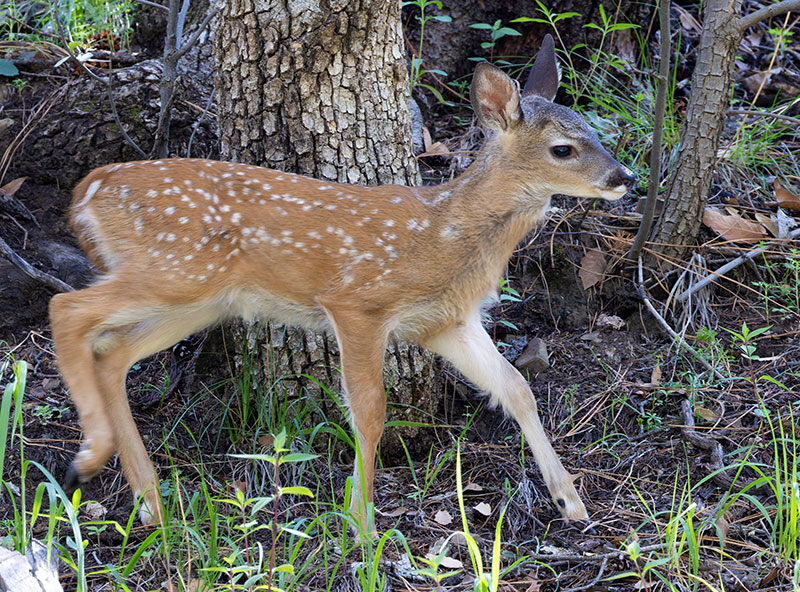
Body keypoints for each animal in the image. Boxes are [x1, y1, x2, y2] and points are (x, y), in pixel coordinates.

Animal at [50, 34, 634, 531]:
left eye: (592, 132)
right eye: (563, 148)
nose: (623, 177)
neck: (444, 235)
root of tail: (84, 192)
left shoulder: (445, 322)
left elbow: (516, 388)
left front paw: (570, 501)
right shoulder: (358, 301)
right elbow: (371, 411)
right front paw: (361, 524)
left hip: (197, 300)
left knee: (111, 352)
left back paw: (152, 506)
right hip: (176, 270)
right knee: (67, 307)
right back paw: (91, 457)